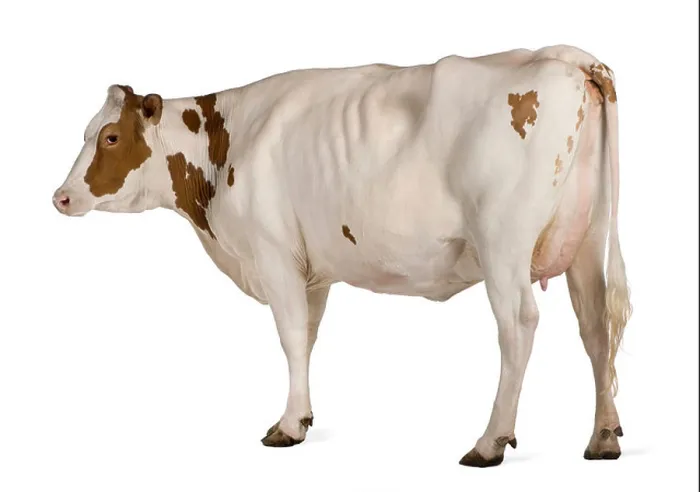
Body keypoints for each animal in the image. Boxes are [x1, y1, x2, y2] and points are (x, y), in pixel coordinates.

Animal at [53, 44, 631, 467]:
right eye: (86, 132)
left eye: (110, 137)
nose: (61, 197)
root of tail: (566, 57)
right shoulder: (313, 273)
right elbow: (307, 339)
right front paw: (302, 418)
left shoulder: (274, 255)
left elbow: (289, 338)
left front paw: (287, 427)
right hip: (587, 236)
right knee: (595, 324)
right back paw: (603, 436)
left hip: (502, 244)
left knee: (518, 327)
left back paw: (489, 442)